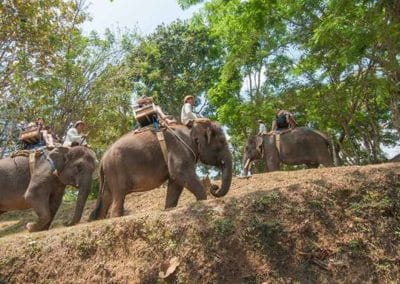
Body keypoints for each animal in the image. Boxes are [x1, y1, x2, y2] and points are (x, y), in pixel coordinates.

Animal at [90, 118, 231, 220]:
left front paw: (169, 209)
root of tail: (102, 159)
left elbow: (175, 182)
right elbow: (179, 173)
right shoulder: (178, 149)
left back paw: (100, 219)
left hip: (109, 175)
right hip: (116, 169)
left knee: (106, 197)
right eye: (222, 142)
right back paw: (116, 217)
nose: (214, 187)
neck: (190, 127)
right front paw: (201, 202)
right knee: (119, 194)